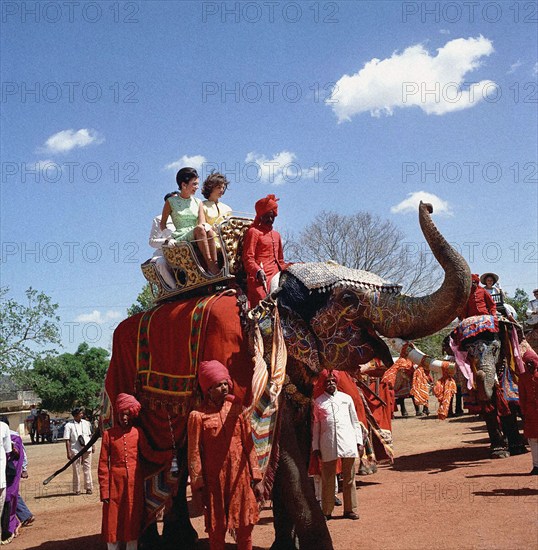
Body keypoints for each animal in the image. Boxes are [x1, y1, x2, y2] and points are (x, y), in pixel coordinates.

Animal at [101, 204, 468, 550]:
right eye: (349, 298)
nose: (427, 205)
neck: (273, 300)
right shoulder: (243, 366)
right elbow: (285, 454)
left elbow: (295, 450)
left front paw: (284, 545)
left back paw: (183, 539)